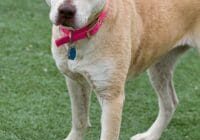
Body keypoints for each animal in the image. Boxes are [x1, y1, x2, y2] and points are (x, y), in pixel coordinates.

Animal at [45, 0, 200, 140]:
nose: (66, 11)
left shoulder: (111, 96)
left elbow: (108, 135)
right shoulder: (75, 81)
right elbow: (79, 120)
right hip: (160, 65)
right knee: (170, 103)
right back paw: (150, 135)